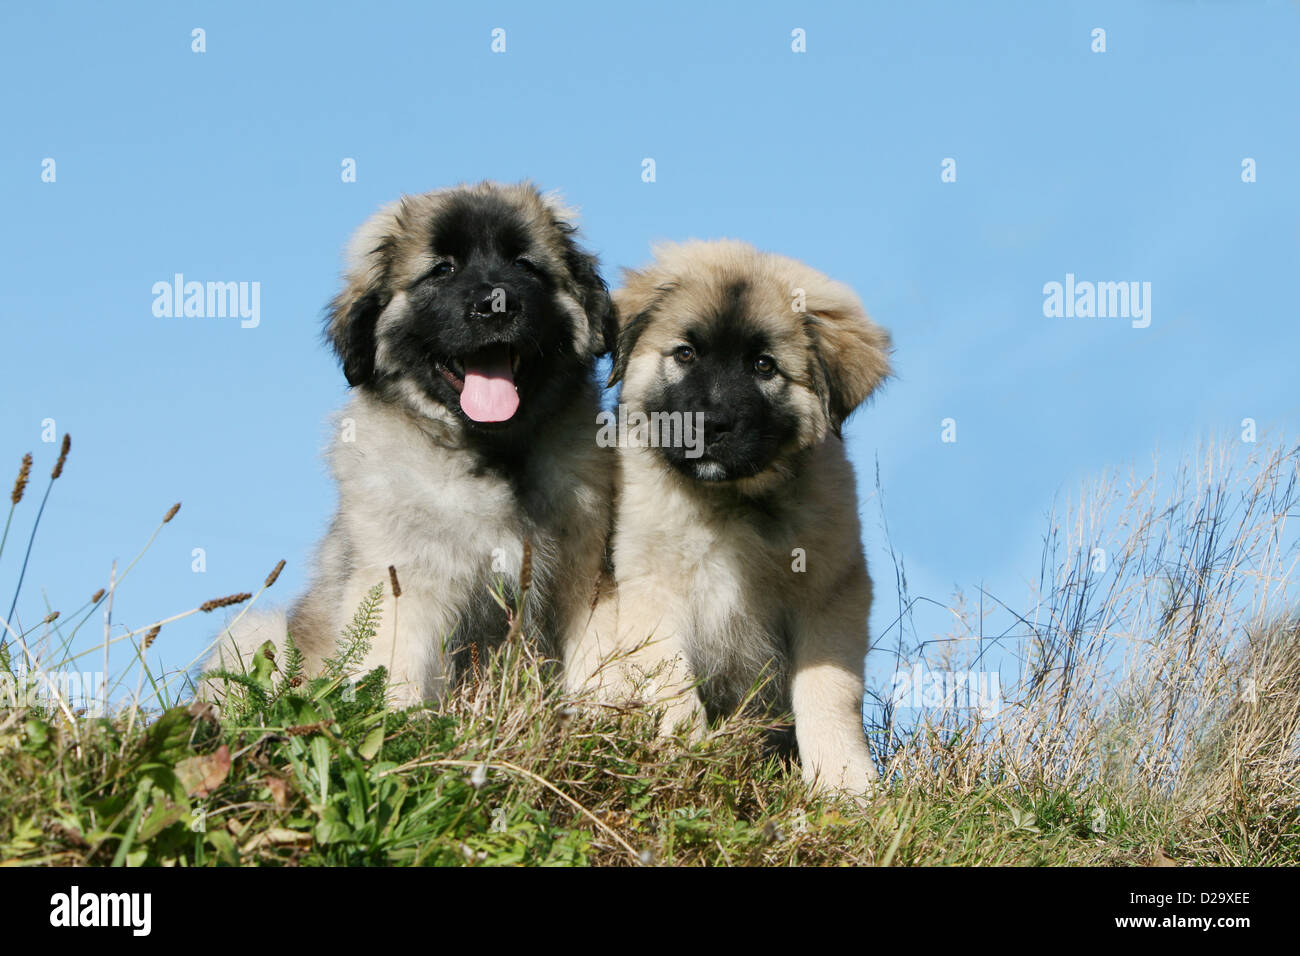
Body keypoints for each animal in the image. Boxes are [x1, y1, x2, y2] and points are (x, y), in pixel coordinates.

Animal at [210, 183, 616, 707]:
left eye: (525, 265)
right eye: (442, 270)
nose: (495, 304)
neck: (492, 456)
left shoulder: (582, 582)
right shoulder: (407, 586)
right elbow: (397, 676)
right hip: (253, 631)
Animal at [569, 243, 894, 796]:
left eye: (764, 366)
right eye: (685, 354)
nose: (709, 424)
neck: (729, 503)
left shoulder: (832, 594)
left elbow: (829, 692)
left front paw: (845, 784)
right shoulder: (651, 590)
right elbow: (671, 683)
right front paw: (685, 759)